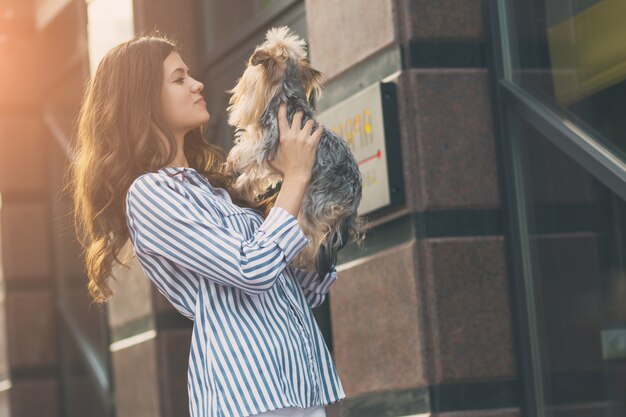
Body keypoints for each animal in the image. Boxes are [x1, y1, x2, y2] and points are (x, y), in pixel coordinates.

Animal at [227, 24, 368, 274]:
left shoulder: (264, 144)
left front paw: (230, 163)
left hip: (312, 202)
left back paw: (298, 260)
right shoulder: (270, 162)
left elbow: (245, 153)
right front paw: (240, 187)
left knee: (310, 240)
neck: (286, 98)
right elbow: (253, 177)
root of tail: (352, 207)